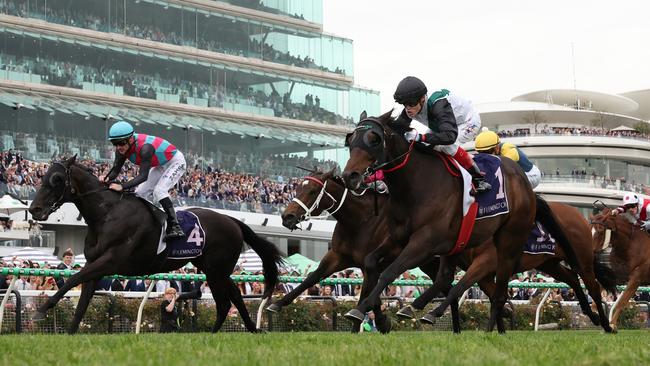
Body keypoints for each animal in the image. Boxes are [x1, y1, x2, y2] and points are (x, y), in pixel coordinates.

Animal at [28, 156, 280, 334]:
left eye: (57, 179)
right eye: (43, 177)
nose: (34, 209)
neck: (107, 214)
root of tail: (232, 220)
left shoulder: (110, 261)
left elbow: (73, 279)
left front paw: (42, 310)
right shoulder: (96, 264)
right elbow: (81, 301)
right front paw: (69, 333)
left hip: (217, 270)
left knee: (226, 301)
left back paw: (220, 332)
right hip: (214, 270)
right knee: (233, 297)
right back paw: (246, 330)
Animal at [268, 170, 460, 334]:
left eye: (313, 191)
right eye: (298, 188)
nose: (287, 217)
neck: (361, 221)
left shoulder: (376, 262)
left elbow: (366, 294)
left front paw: (374, 323)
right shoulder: (338, 257)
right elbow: (312, 278)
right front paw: (277, 304)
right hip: (430, 263)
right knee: (447, 287)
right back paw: (455, 328)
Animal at [342, 111, 576, 332]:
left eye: (373, 138)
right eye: (350, 139)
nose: (349, 176)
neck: (416, 185)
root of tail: (524, 183)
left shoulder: (423, 243)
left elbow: (389, 272)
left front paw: (363, 310)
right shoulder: (399, 239)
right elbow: (371, 262)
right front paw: (373, 313)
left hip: (508, 242)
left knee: (497, 292)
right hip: (456, 244)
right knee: (446, 278)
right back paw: (420, 308)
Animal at [402, 200, 612, 332]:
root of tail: (579, 215)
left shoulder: (485, 262)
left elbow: (460, 288)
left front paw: (432, 313)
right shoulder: (484, 272)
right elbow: (494, 296)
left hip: (582, 258)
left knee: (593, 286)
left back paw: (607, 325)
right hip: (548, 263)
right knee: (571, 278)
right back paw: (591, 315)